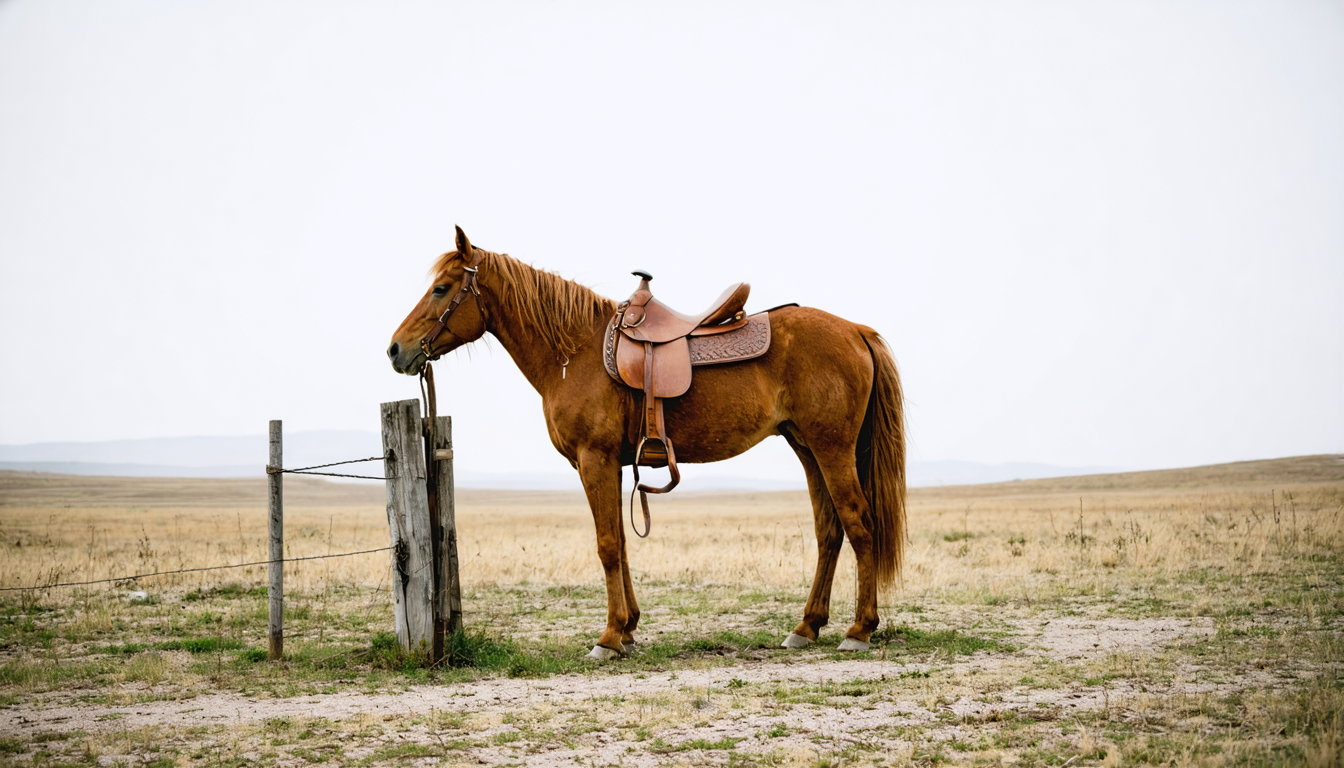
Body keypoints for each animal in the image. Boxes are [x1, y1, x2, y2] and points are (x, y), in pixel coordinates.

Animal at [387, 227, 907, 659]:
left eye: (441, 288)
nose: (395, 349)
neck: (573, 352)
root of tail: (856, 330)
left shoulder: (593, 459)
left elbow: (606, 545)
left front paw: (609, 637)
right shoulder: (611, 465)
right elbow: (620, 541)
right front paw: (629, 629)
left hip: (832, 448)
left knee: (860, 524)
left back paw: (859, 630)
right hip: (808, 449)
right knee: (829, 531)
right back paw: (806, 626)